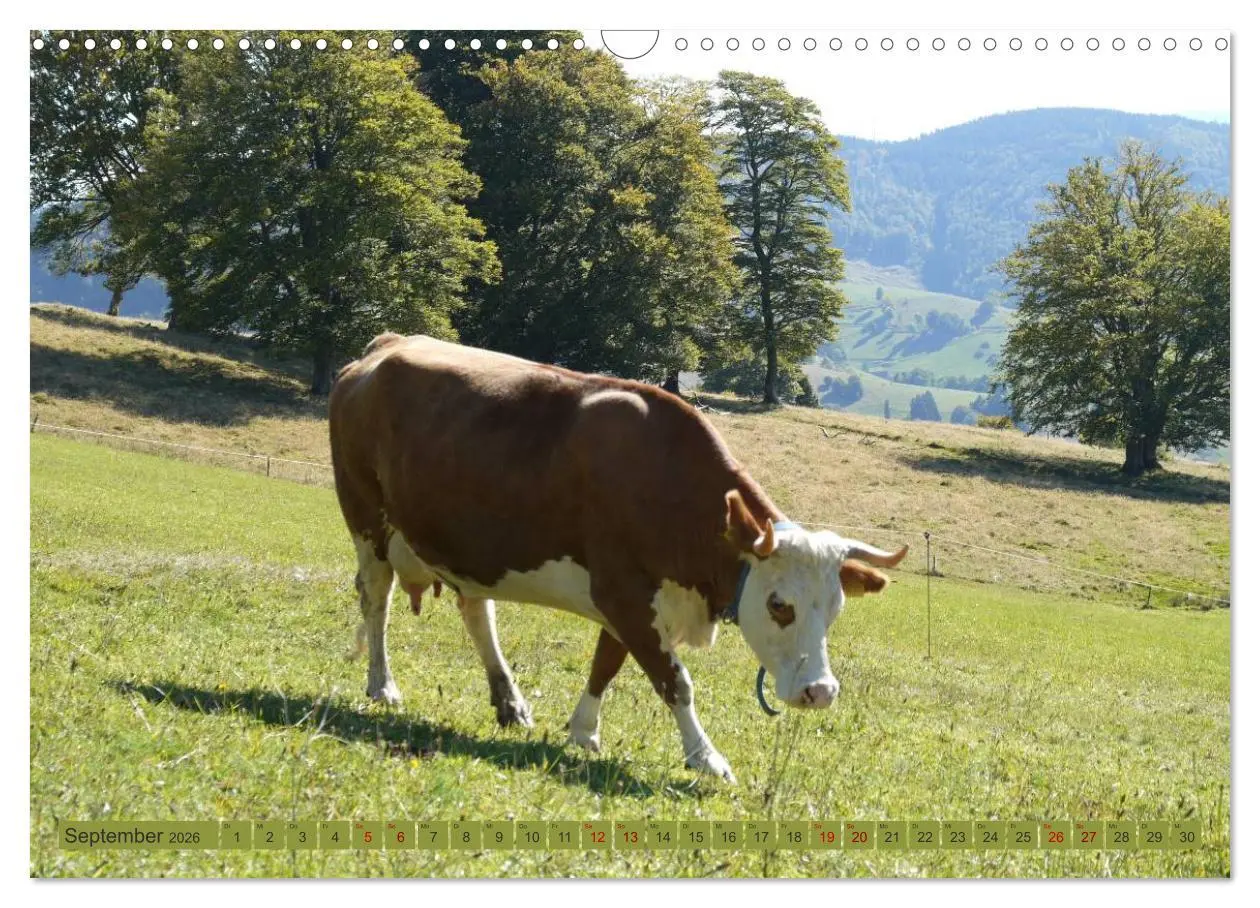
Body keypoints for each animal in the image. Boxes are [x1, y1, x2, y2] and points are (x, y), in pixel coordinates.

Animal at [329, 333, 908, 782]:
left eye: (834, 610)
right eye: (779, 605)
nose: (821, 692)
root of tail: (385, 345)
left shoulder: (629, 597)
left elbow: (606, 663)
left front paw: (583, 731)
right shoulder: (623, 593)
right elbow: (675, 682)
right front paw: (706, 758)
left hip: (466, 548)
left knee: (477, 613)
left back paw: (509, 702)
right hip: (366, 521)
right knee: (376, 602)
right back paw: (383, 685)